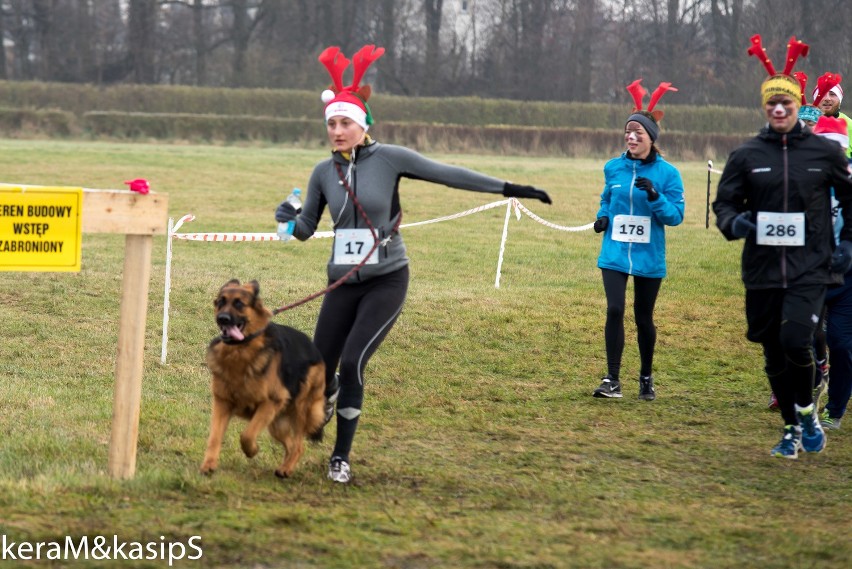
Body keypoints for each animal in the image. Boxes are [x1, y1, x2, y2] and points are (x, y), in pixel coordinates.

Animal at [201, 278, 328, 478]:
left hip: (297, 410)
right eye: (221, 301)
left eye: (239, 303)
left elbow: (247, 435)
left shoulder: (270, 402)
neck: (241, 350)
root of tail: (316, 351)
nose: (222, 318)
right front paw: (209, 464)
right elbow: (214, 437)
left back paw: (286, 469)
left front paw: (252, 451)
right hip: (276, 424)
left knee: (298, 446)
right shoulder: (222, 403)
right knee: (291, 444)